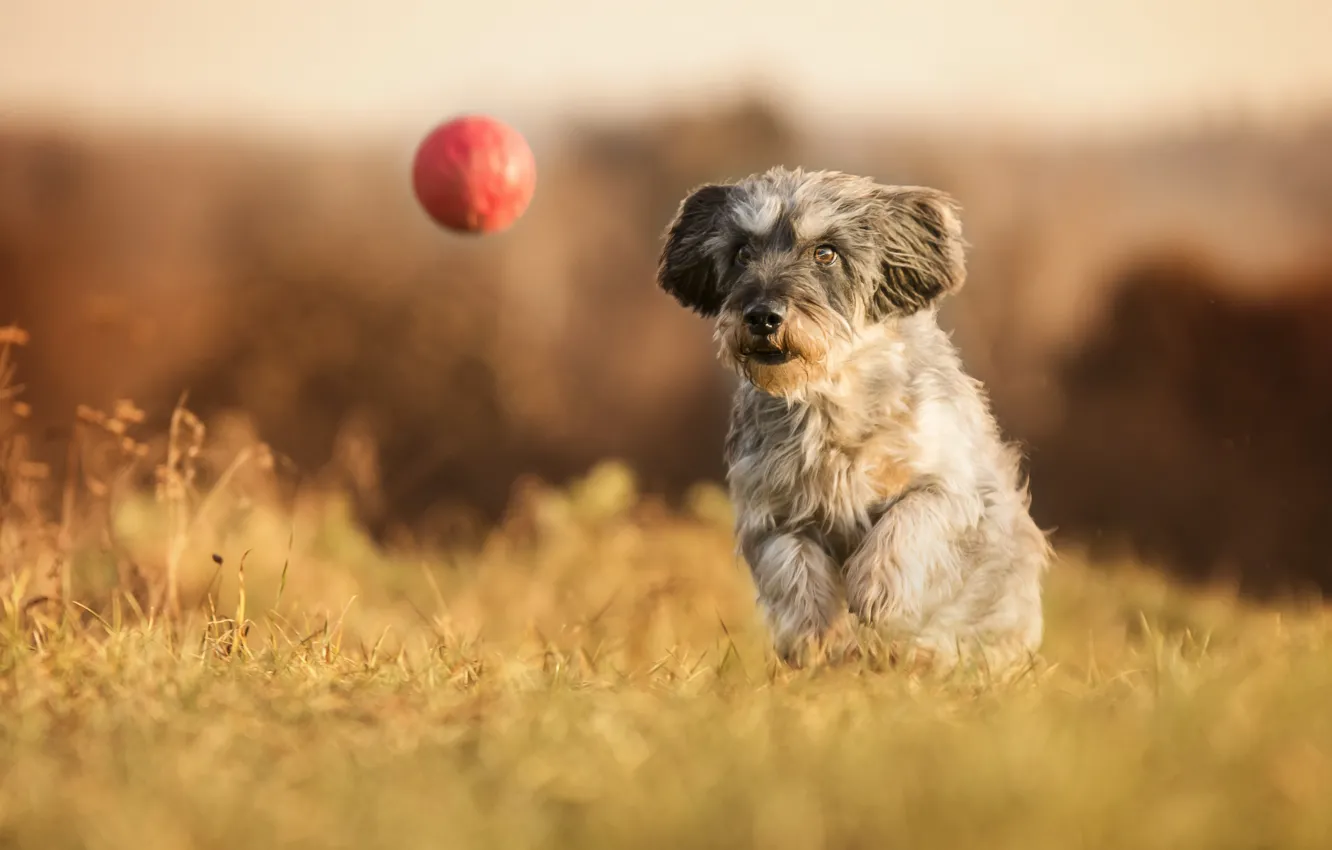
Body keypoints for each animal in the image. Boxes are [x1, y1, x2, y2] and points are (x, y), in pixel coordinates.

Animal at [655, 165, 1049, 671]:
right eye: (742, 252)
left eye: (826, 252)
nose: (762, 316)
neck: (830, 400)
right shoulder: (772, 515)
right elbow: (792, 568)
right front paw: (812, 637)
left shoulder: (952, 487)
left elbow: (909, 519)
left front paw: (878, 589)